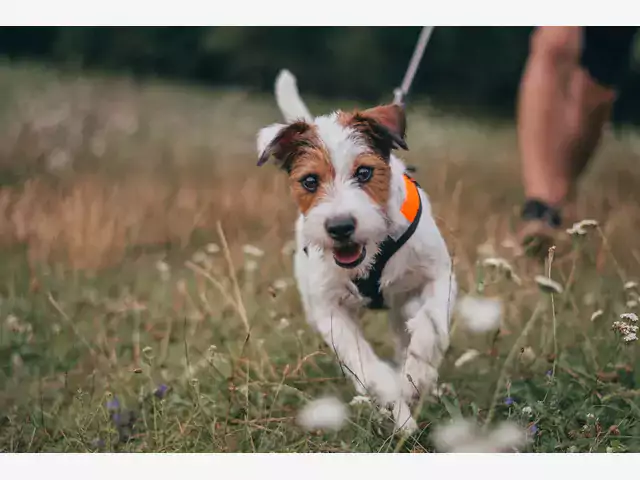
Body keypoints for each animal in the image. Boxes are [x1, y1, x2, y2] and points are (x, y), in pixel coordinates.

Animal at [255, 71, 456, 436]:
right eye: (309, 181)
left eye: (364, 172)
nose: (340, 227)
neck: (374, 254)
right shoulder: (330, 311)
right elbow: (363, 360)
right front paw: (394, 397)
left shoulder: (439, 276)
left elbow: (429, 326)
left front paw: (417, 376)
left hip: (401, 307)